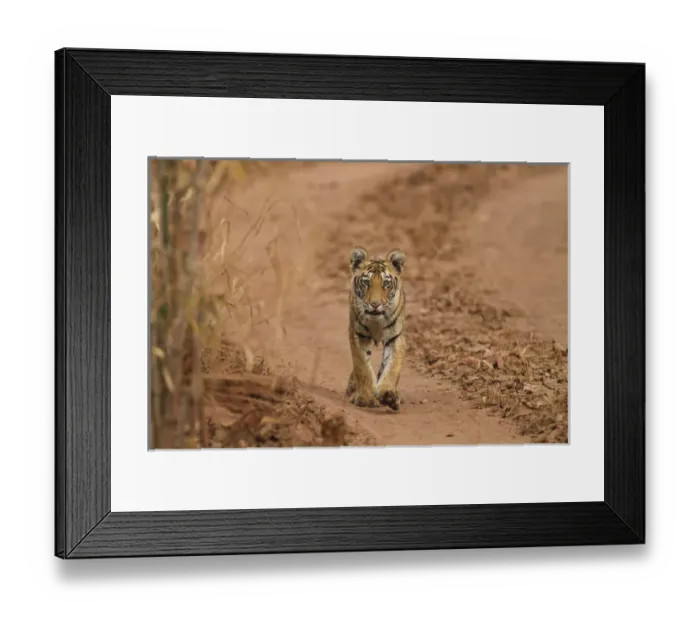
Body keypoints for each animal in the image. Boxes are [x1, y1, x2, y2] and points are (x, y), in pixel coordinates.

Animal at [345, 246, 406, 411]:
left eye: (386, 283)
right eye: (366, 282)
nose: (375, 304)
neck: (376, 322)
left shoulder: (395, 338)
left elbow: (392, 367)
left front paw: (388, 394)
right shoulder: (358, 335)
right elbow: (362, 367)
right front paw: (365, 398)